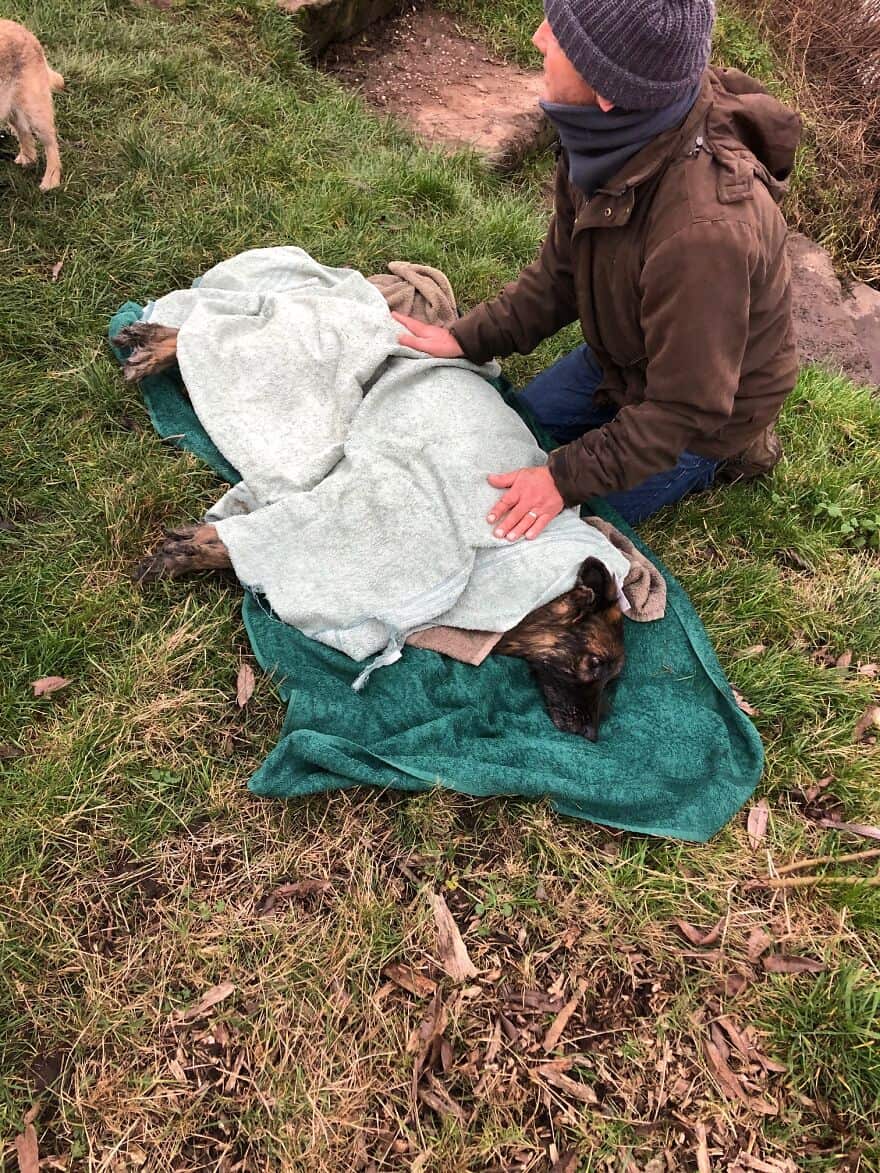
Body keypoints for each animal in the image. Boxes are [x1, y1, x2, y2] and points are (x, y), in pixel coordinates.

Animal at [0, 17, 65, 190]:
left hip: (35, 108)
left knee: (51, 142)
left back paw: (50, 180)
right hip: (11, 105)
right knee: (23, 130)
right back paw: (27, 158)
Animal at [113, 254, 628, 741]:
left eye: (615, 680)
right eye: (596, 664)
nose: (591, 735)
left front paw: (186, 546)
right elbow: (233, 542)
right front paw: (183, 552)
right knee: (210, 332)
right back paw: (156, 343)